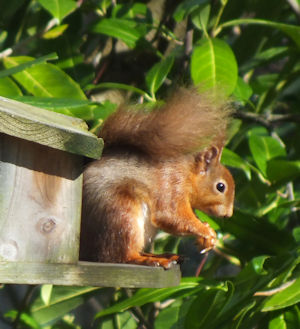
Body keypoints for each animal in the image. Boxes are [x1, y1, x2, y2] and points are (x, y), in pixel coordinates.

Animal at [79, 88, 234, 268]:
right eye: (220, 187)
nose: (228, 215)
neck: (188, 174)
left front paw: (207, 236)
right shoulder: (171, 183)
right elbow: (171, 216)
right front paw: (205, 231)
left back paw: (164, 255)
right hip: (120, 213)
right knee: (117, 256)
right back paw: (149, 259)